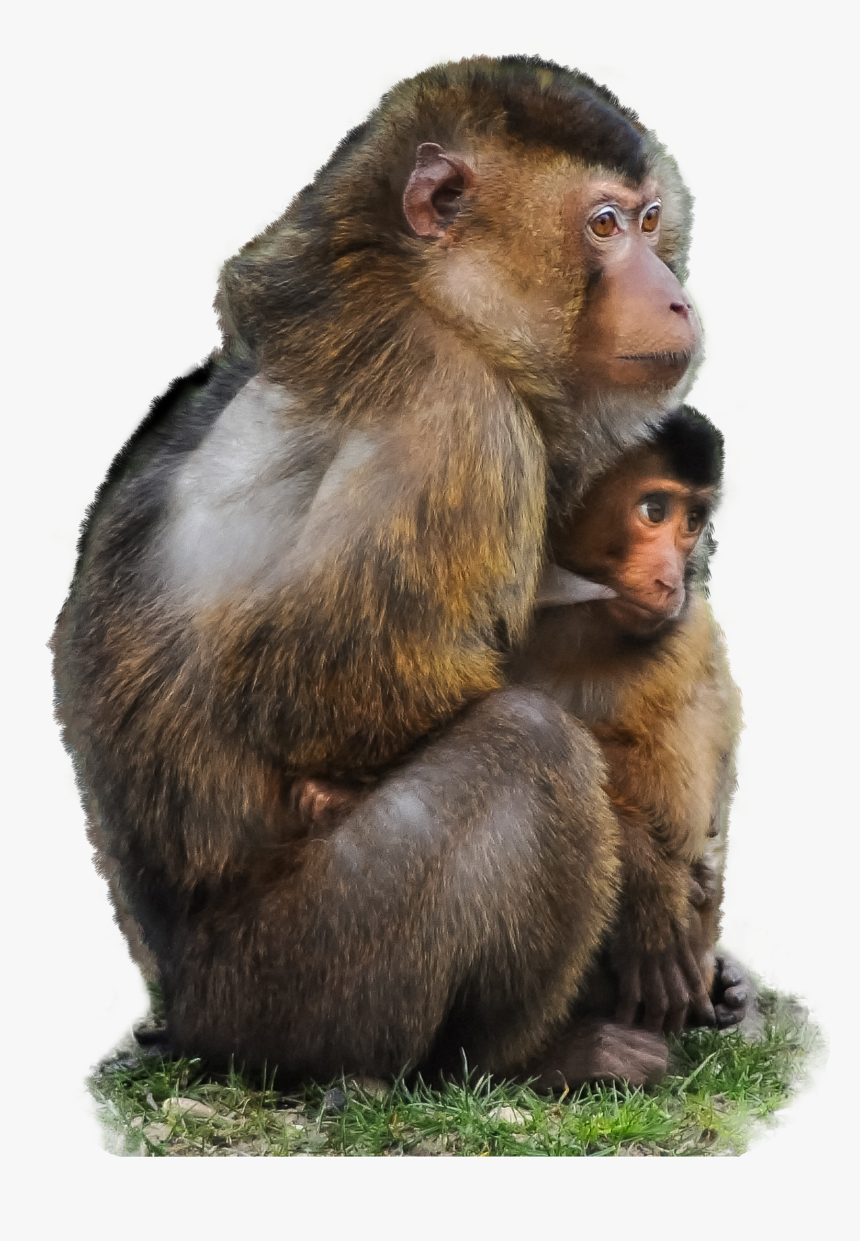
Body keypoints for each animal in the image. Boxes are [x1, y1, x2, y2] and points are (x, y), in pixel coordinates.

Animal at [53, 56, 706, 1089]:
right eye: (603, 225)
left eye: (649, 222)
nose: (676, 297)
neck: (418, 293)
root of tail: (187, 1012)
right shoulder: (458, 416)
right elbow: (320, 689)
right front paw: (646, 878)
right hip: (296, 982)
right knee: (530, 743)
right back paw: (525, 1055)